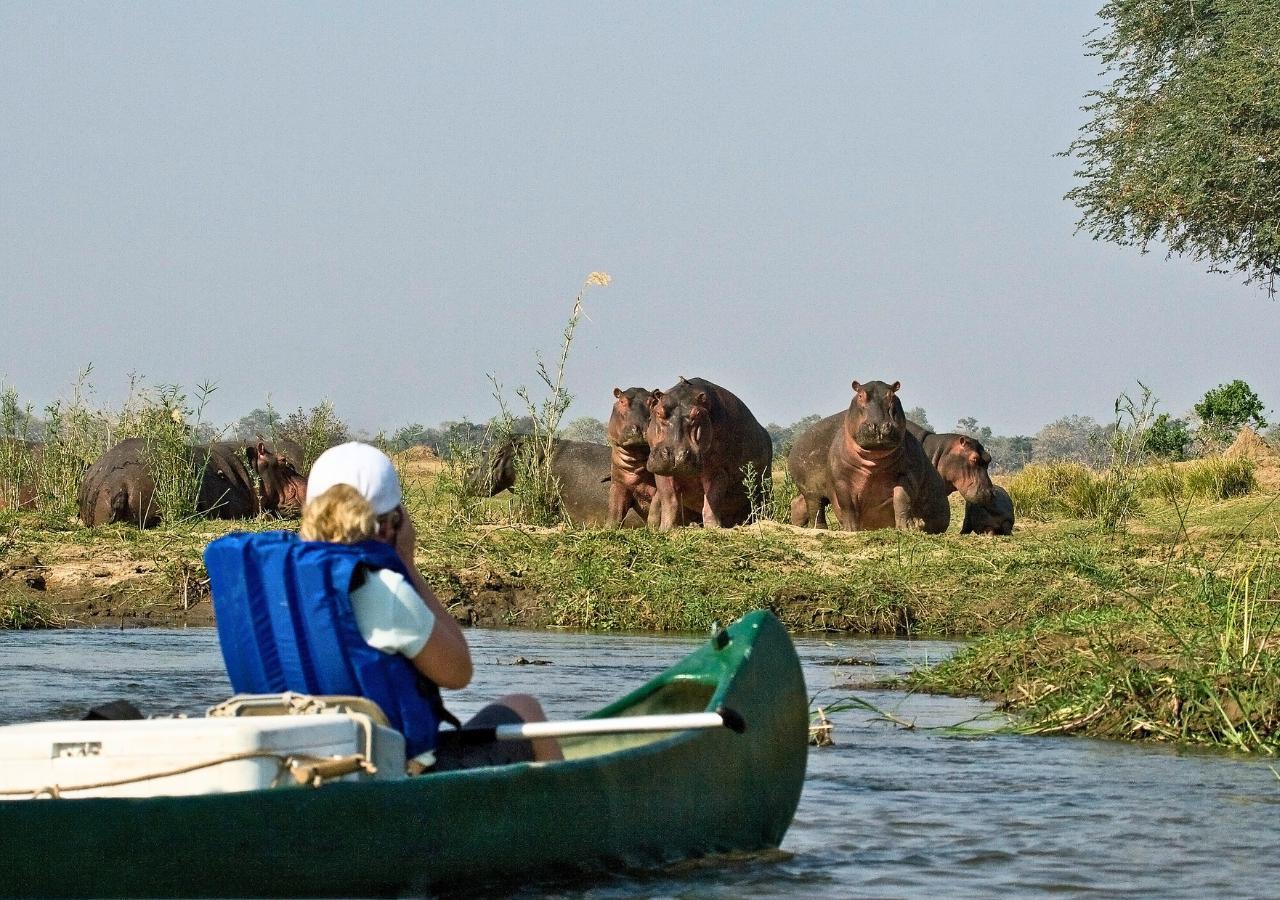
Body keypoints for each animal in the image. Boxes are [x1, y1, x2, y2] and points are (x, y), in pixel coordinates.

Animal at [645, 377, 772, 530]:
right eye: (658, 412)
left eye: (698, 414)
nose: (676, 455)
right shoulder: (662, 471)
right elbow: (669, 500)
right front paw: (666, 529)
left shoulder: (718, 470)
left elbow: (712, 500)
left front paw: (714, 527)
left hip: (764, 487)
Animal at [789, 381, 949, 533]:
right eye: (860, 395)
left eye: (892, 395)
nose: (879, 426)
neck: (874, 458)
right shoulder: (842, 480)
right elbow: (847, 505)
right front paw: (850, 529)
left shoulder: (907, 475)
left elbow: (902, 499)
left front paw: (907, 527)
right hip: (811, 491)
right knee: (815, 508)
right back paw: (820, 528)